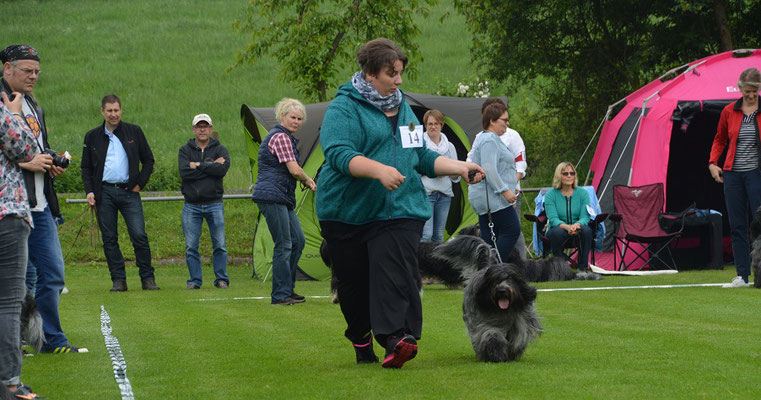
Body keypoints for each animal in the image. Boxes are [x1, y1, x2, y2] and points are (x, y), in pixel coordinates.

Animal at [430, 234, 544, 362]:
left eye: (510, 278)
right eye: (495, 280)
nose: (502, 290)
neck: (505, 310)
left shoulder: (522, 321)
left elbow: (518, 336)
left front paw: (512, 353)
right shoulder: (483, 322)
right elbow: (490, 333)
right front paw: (497, 352)